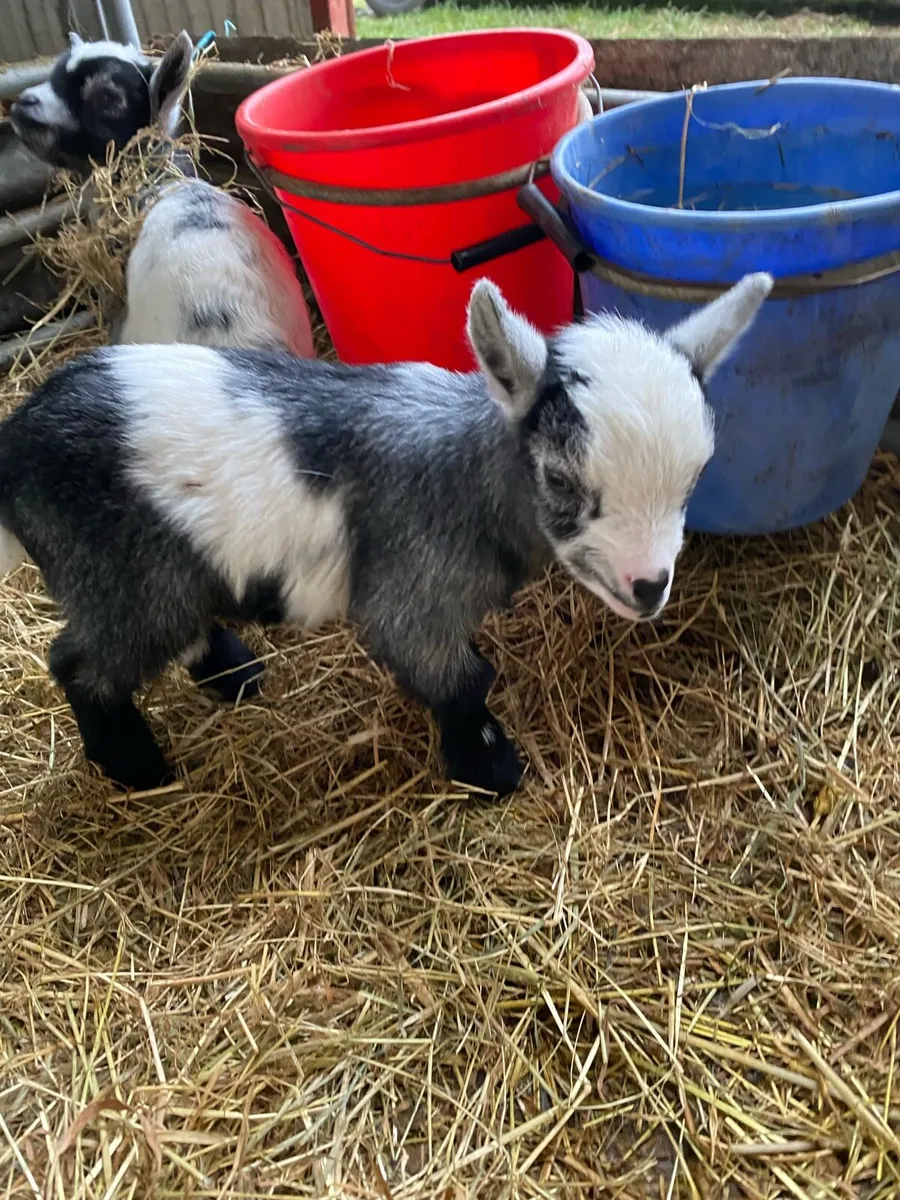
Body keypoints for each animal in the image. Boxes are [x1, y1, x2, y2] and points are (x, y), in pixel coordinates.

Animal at [0, 274, 772, 796]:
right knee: (81, 662)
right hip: (114, 569)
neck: (471, 473)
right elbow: (459, 678)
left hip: (161, 570)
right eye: (560, 478)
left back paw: (233, 673)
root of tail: (17, 442)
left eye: (696, 476)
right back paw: (137, 766)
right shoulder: (412, 590)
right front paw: (489, 767)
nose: (649, 587)